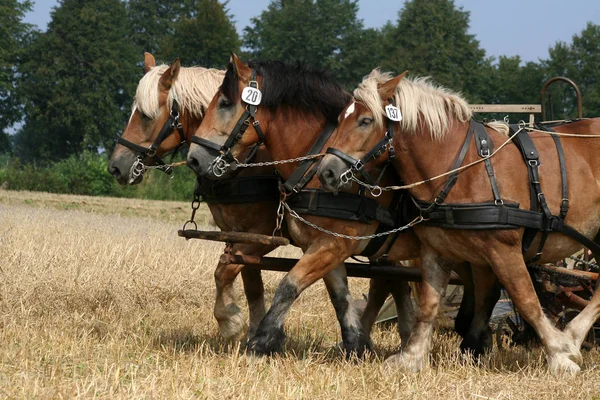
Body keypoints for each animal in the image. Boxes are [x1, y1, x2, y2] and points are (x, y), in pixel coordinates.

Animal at [316, 68, 600, 372]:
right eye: (340, 119)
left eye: (366, 121)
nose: (326, 172)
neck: (462, 168)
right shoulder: (436, 250)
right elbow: (428, 304)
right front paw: (411, 356)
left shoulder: (504, 249)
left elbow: (526, 299)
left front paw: (559, 354)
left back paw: (572, 335)